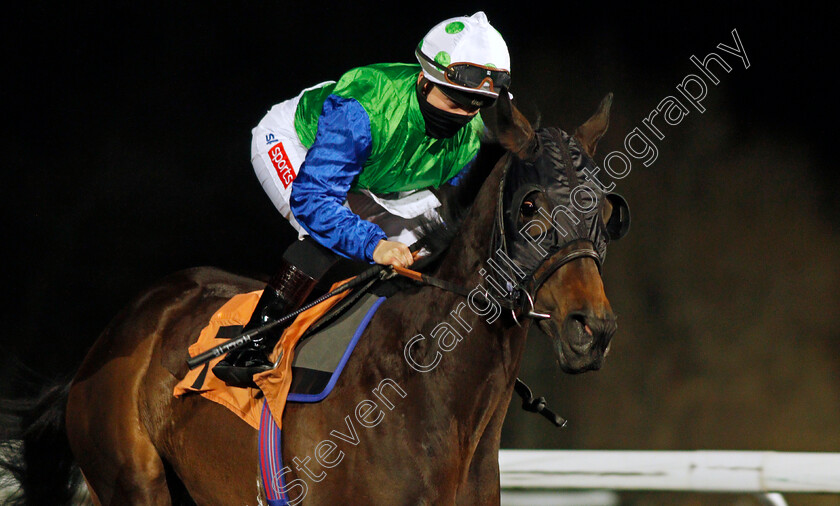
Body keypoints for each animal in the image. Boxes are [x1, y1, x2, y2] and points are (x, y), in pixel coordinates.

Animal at [1, 90, 632, 502]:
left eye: (606, 209)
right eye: (530, 206)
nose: (592, 329)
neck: (428, 386)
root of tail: (110, 337)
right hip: (132, 484)